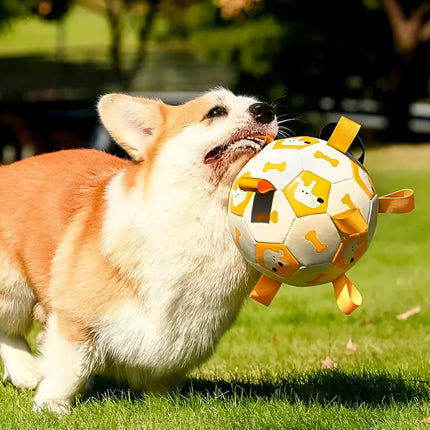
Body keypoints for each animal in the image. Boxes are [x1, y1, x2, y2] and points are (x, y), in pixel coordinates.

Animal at [0, 88, 278, 414]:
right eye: (215, 112)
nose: (266, 110)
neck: (209, 214)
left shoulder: (184, 339)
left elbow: (163, 379)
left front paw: (165, 406)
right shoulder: (75, 321)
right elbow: (68, 369)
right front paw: (51, 408)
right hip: (12, 290)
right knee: (9, 331)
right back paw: (25, 371)